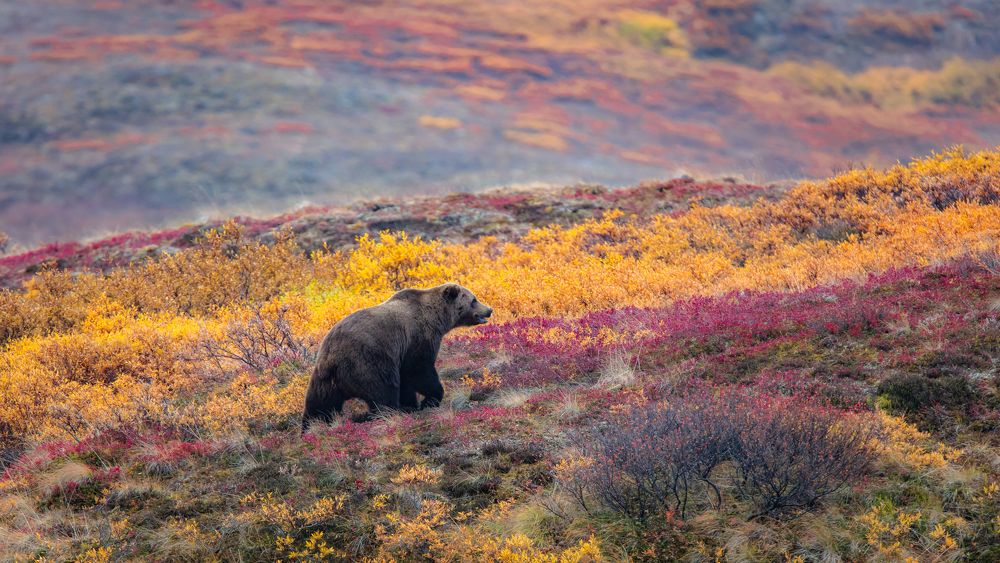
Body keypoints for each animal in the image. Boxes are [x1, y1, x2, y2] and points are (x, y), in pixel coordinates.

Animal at [302, 283, 492, 431]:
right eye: (474, 299)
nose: (489, 310)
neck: (437, 318)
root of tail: (332, 356)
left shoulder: (403, 352)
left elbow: (407, 380)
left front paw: (411, 404)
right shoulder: (417, 338)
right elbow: (419, 371)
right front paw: (429, 399)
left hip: (324, 379)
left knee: (319, 404)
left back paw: (310, 427)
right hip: (367, 363)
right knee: (383, 391)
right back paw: (387, 413)